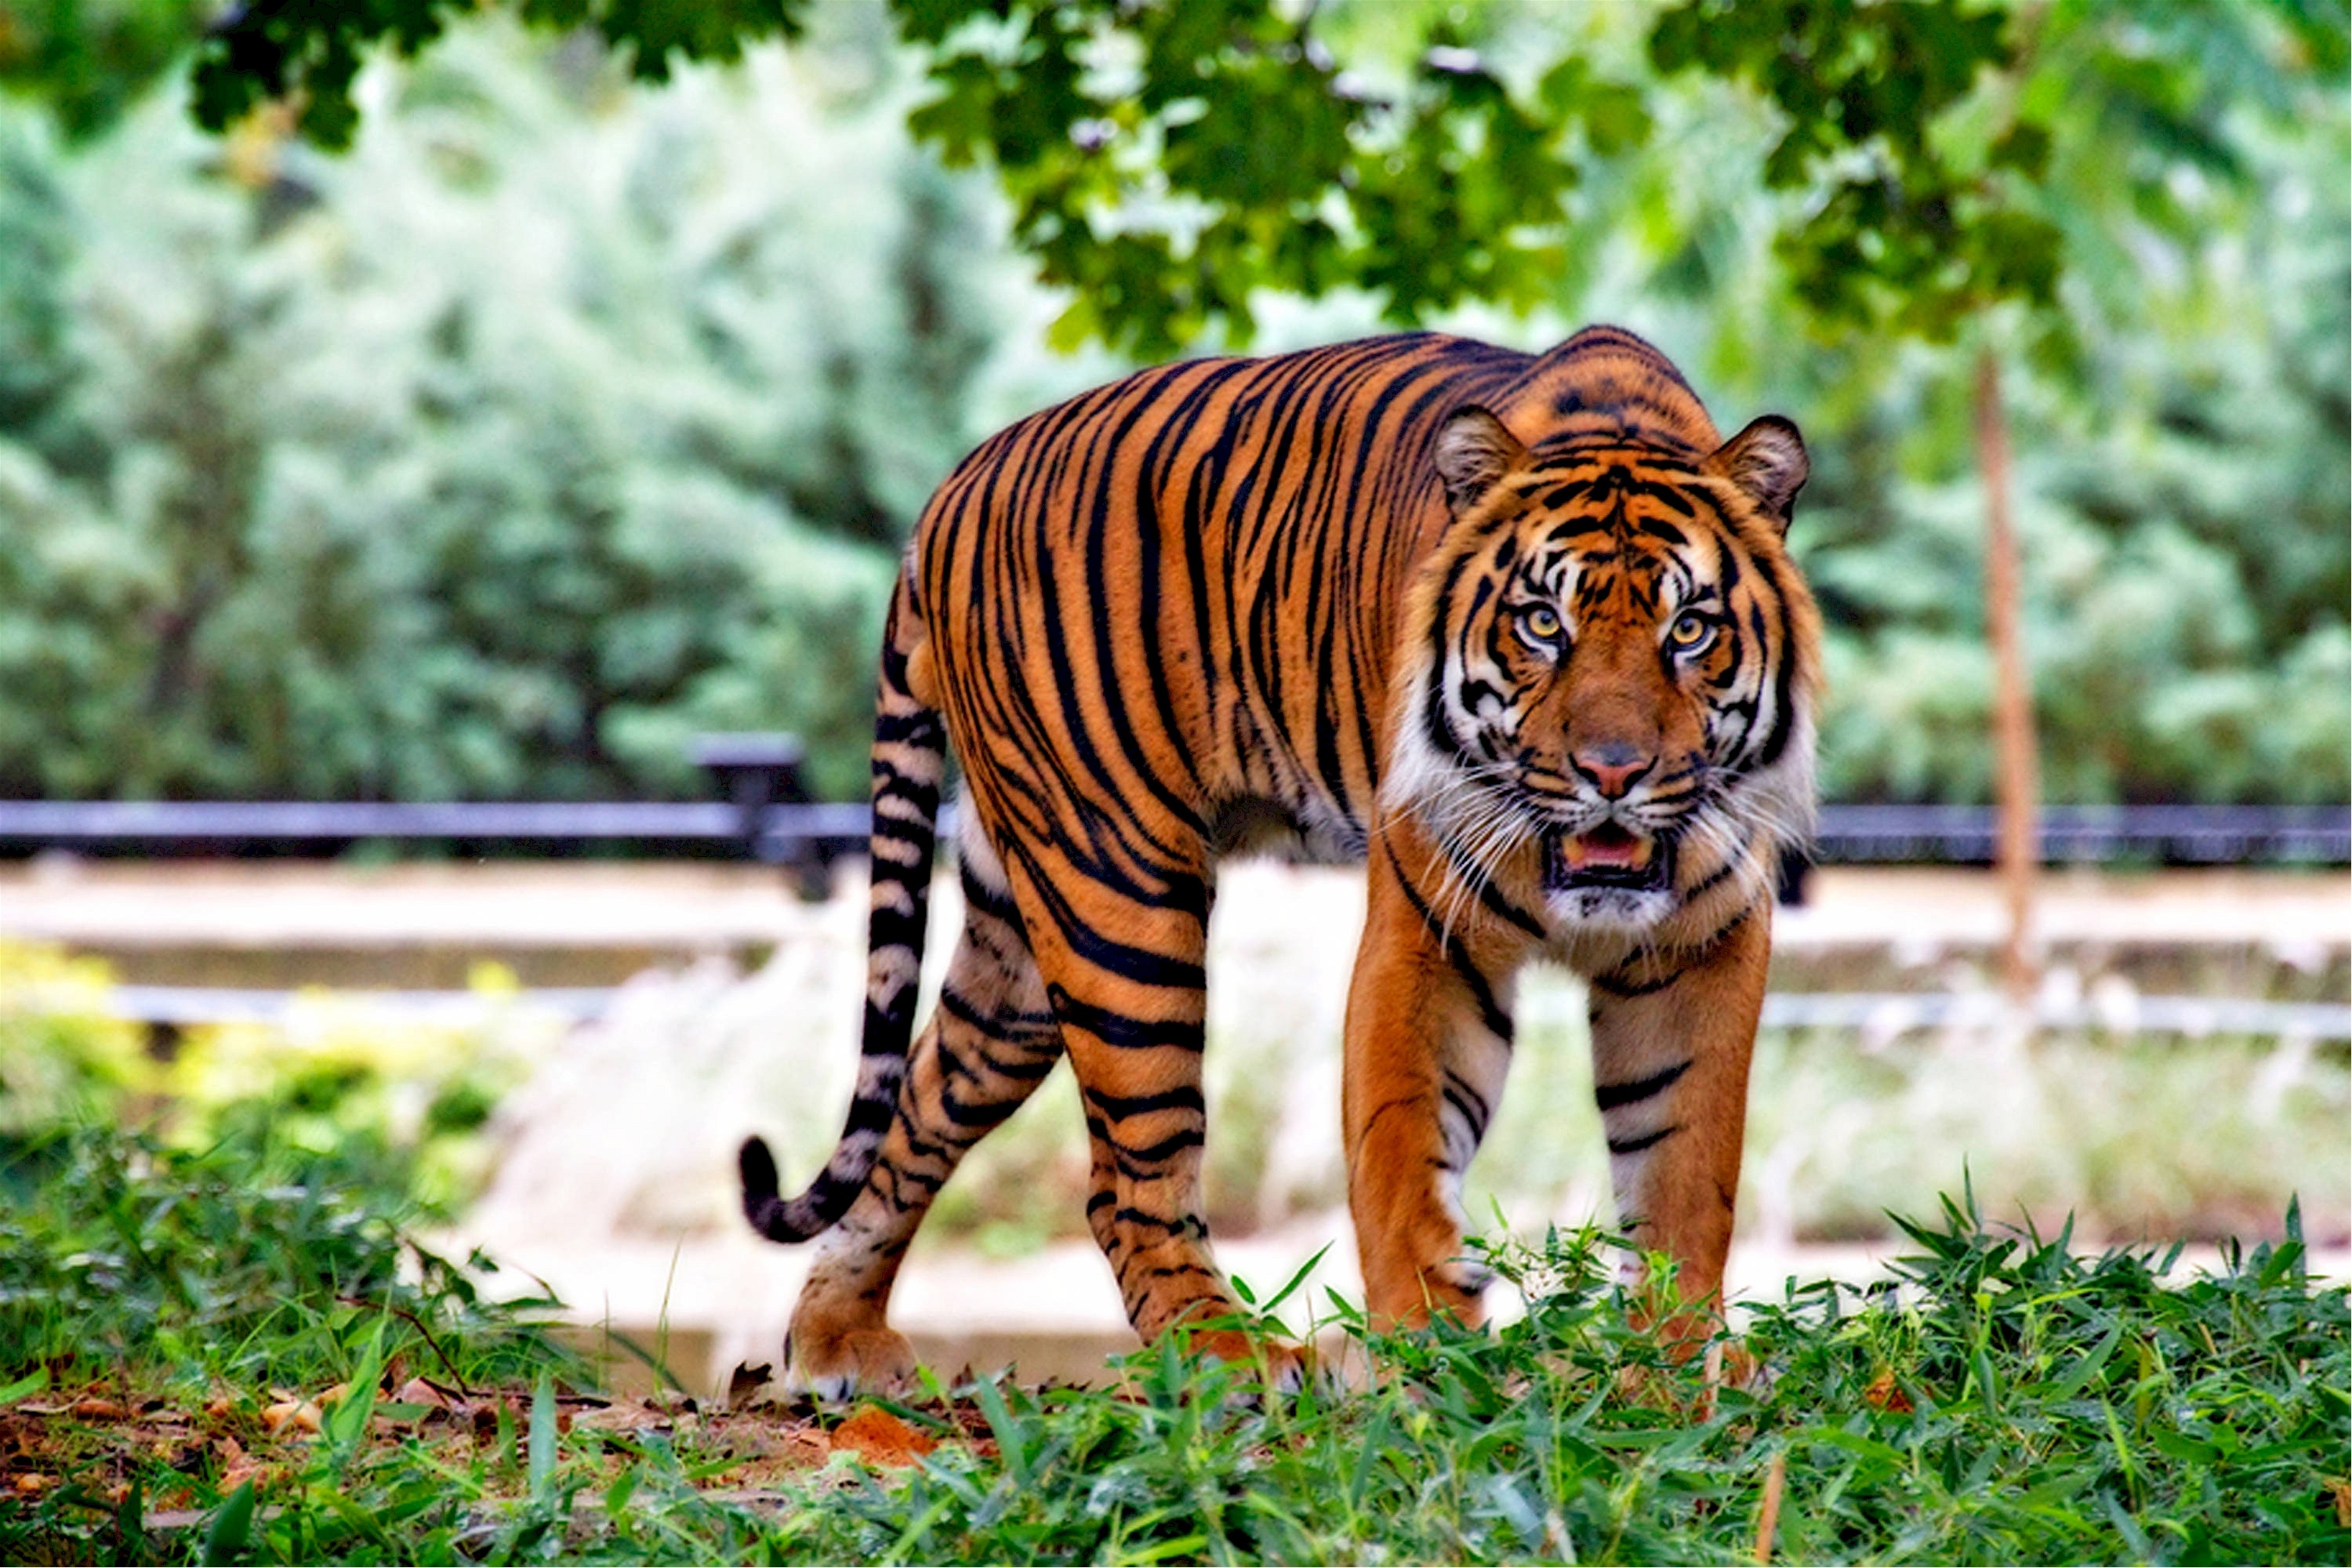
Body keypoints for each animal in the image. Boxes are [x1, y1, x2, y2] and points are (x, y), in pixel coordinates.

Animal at [734, 321, 1816, 1401]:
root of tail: (954, 483)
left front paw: (1671, 1361)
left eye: (1690, 629)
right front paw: (1432, 1363)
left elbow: (1685, 1170)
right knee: (1125, 1179)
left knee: (918, 1105)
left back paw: (835, 1337)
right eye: (1543, 623)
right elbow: (1403, 1153)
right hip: (1118, 895)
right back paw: (1232, 1354)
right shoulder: (1425, 934)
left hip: (1020, 947)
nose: (1613, 771)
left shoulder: (1705, 945)